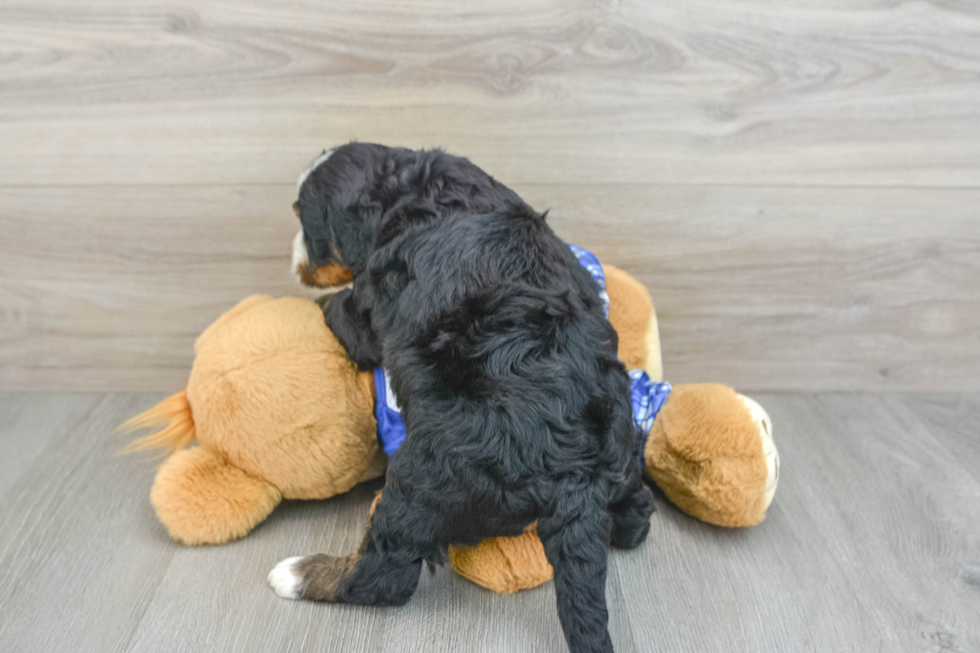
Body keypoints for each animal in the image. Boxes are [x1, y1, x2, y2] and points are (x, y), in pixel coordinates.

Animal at [270, 144, 652, 652]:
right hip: (624, 437)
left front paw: (319, 302)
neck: (402, 188)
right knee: (637, 514)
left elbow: (340, 310)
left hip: (423, 478)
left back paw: (297, 573)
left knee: (385, 575)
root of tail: (576, 474)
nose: (294, 259)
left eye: (304, 219)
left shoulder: (369, 308)